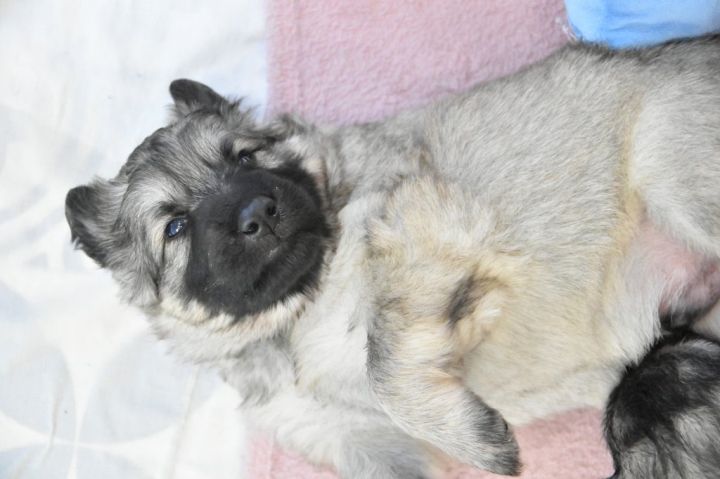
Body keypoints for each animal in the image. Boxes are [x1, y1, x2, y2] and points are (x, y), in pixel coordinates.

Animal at [65, 36, 720, 477]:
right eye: (175, 225)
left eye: (245, 157)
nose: (258, 210)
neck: (295, 315)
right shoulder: (351, 439)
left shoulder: (420, 233)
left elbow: (383, 359)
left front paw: (473, 438)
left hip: (672, 173)